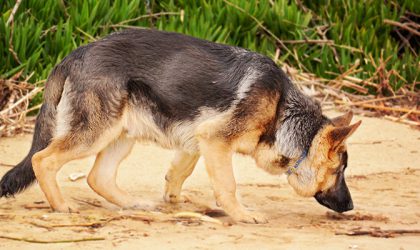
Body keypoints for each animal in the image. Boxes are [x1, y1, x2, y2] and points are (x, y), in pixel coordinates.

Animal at [0, 28, 360, 223]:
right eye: (339, 171)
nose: (351, 206)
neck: (282, 110)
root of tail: (72, 55)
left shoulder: (197, 140)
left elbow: (179, 174)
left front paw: (174, 201)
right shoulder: (215, 140)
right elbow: (227, 185)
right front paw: (241, 214)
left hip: (121, 134)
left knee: (97, 177)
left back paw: (134, 204)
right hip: (94, 134)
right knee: (42, 160)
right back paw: (61, 206)